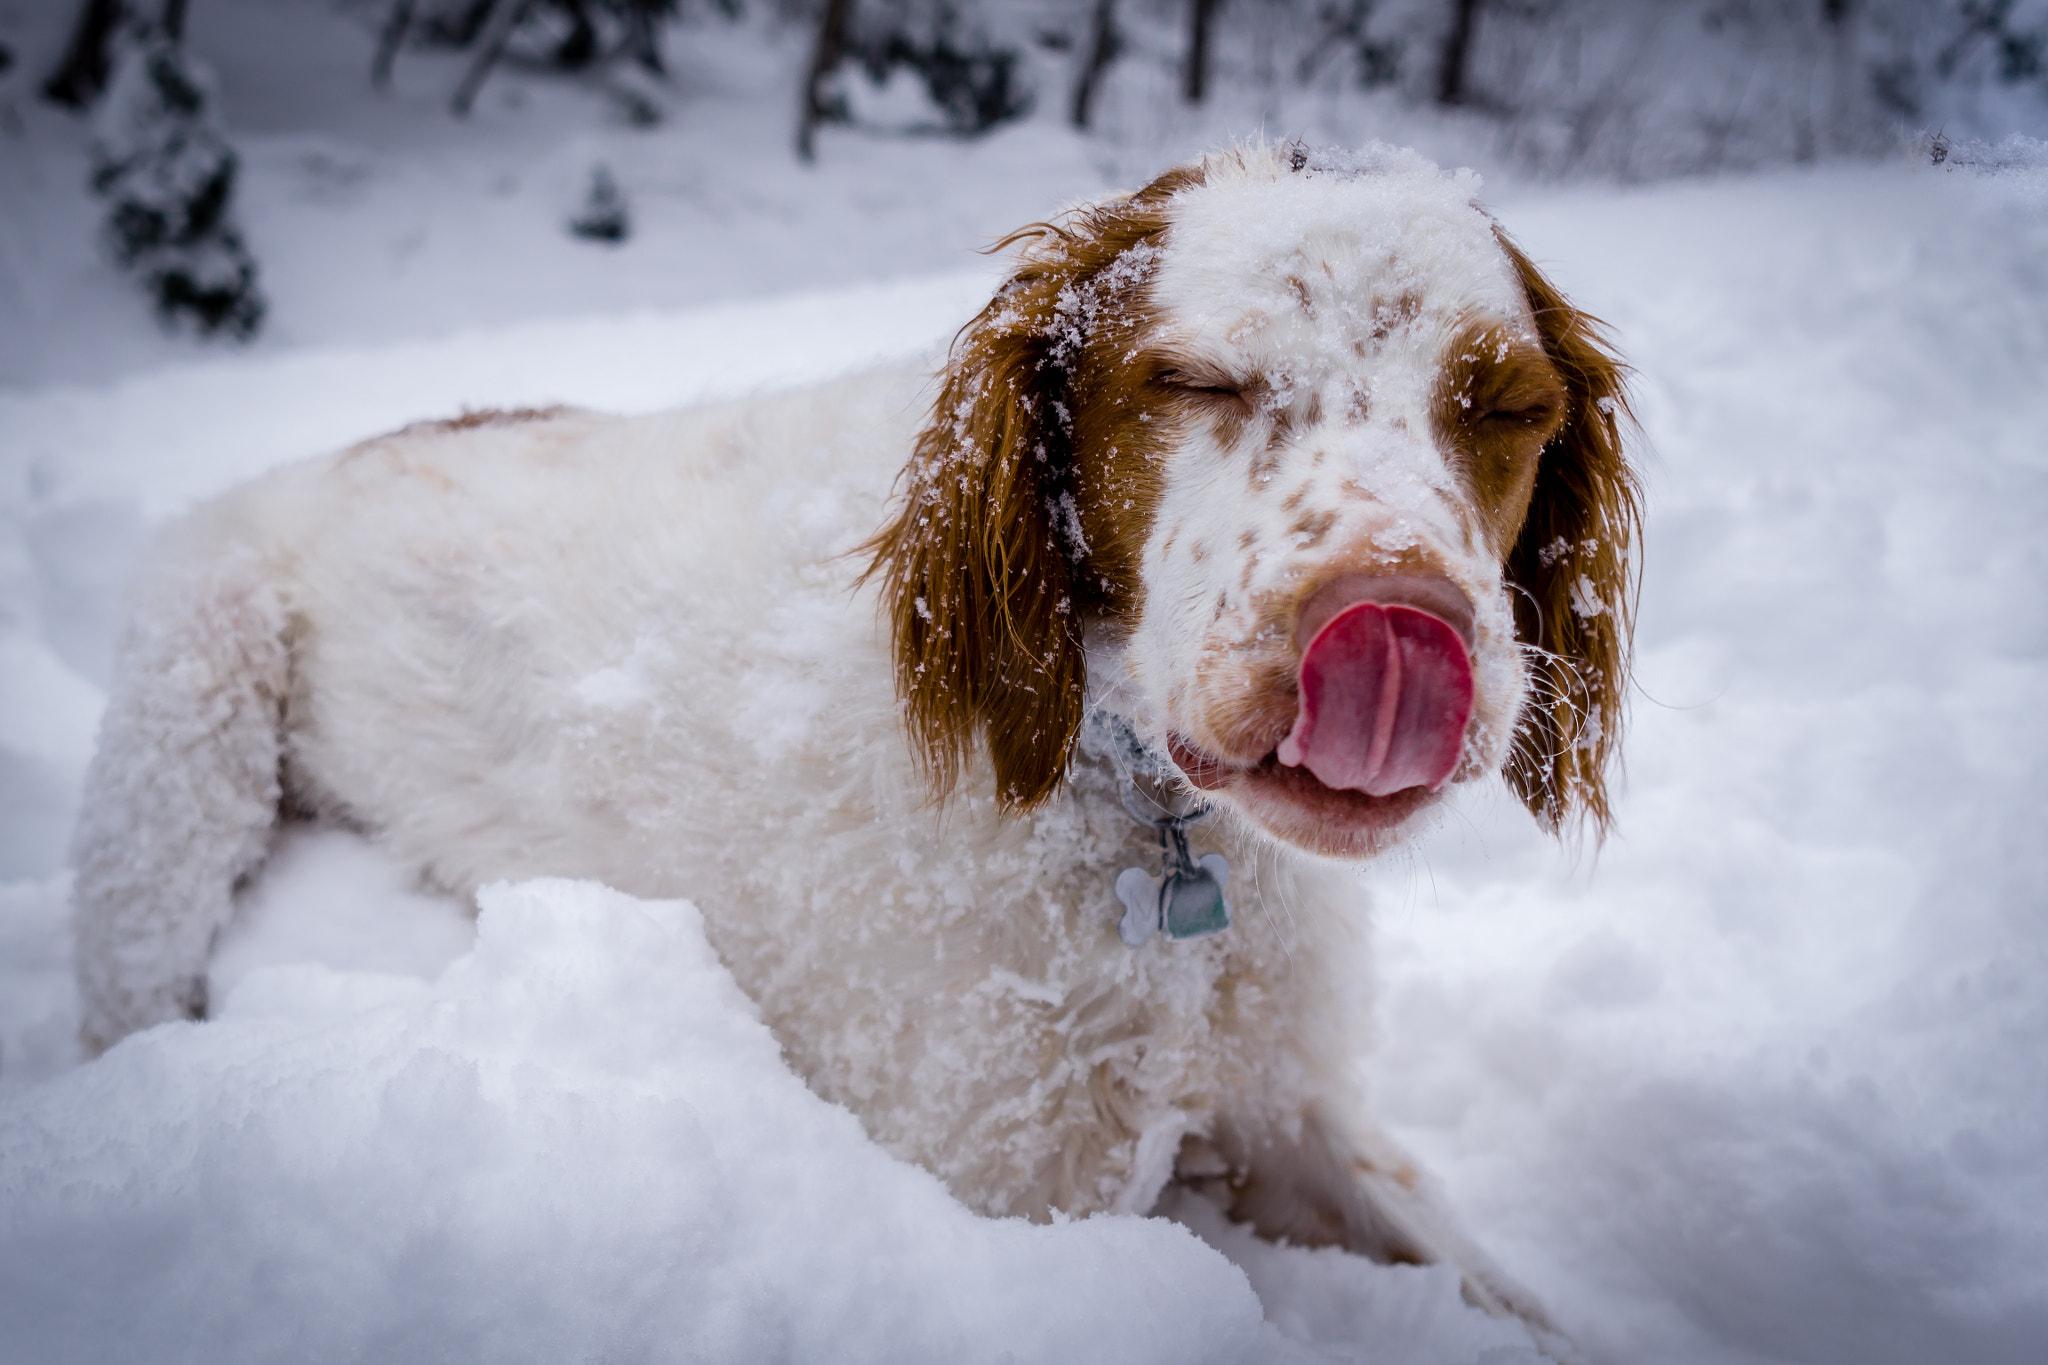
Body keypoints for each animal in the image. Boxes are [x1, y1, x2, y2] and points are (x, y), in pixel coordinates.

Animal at [72, 144, 1638, 1326]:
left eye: (1505, 406)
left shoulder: (1288, 1113)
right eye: (1196, 383)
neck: (1127, 806)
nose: (1398, 625)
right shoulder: (1010, 1195)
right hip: (191, 703)